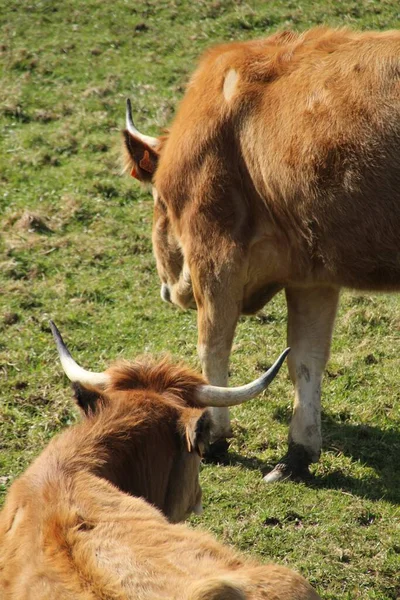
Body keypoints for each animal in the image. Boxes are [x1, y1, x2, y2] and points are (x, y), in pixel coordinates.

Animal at [122, 28, 400, 482]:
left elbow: (213, 345)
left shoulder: (215, 254)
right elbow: (305, 359)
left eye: (159, 201)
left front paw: (214, 435)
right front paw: (297, 453)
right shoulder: (313, 273)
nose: (166, 288)